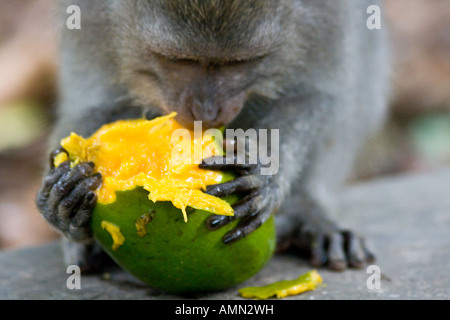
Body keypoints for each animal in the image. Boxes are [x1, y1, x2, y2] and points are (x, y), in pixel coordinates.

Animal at [36, 0, 390, 274]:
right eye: (178, 60)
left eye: (241, 62)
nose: (206, 110)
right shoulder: (93, 22)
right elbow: (97, 107)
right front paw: (65, 195)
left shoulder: (326, 20)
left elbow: (315, 98)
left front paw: (265, 170)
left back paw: (309, 214)